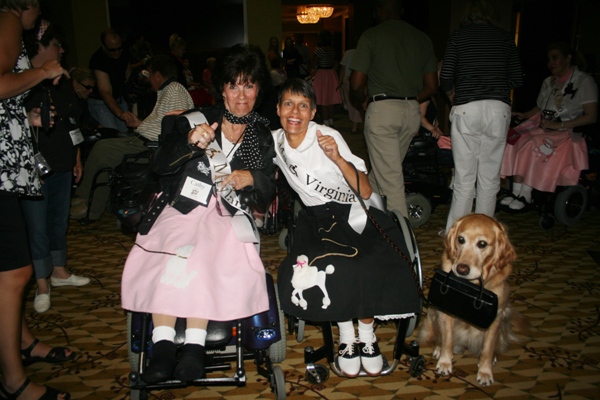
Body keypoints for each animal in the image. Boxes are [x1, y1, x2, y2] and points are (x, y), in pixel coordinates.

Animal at [418, 214, 527, 386]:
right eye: (461, 239)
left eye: (482, 244)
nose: (462, 269)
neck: (471, 286)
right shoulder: (446, 312)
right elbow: (447, 339)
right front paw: (445, 362)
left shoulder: (496, 318)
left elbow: (487, 348)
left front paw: (485, 371)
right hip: (433, 314)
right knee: (439, 336)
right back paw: (438, 349)